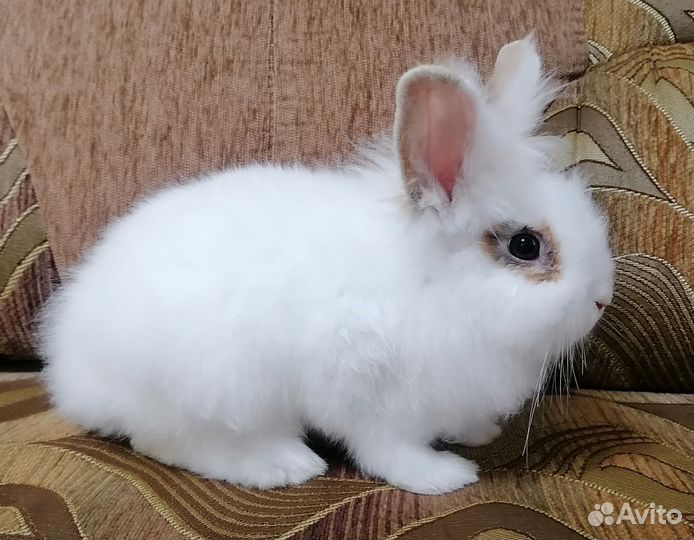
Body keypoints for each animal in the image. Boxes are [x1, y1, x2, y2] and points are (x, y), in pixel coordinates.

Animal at [38, 35, 614, 495]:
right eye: (525, 246)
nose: (602, 299)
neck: (433, 288)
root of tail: (71, 365)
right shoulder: (365, 393)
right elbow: (386, 448)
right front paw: (442, 476)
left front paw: (479, 433)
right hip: (218, 388)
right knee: (167, 443)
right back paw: (283, 464)